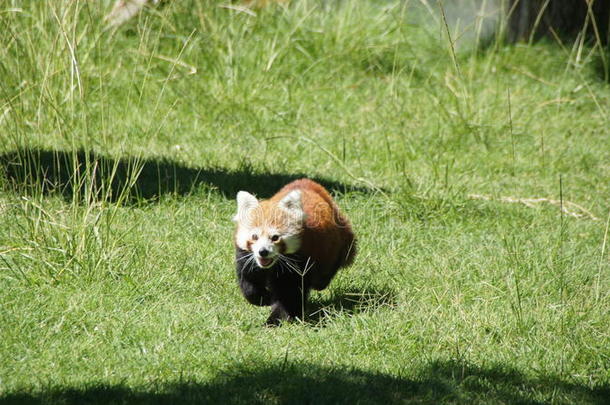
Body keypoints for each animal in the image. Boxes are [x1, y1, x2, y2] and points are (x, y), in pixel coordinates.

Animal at [233, 178, 356, 324]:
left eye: (275, 237)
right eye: (254, 236)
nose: (263, 252)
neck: (271, 266)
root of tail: (307, 182)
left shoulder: (299, 262)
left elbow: (290, 295)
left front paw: (276, 320)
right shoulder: (247, 258)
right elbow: (248, 283)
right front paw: (264, 298)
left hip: (337, 243)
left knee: (328, 270)